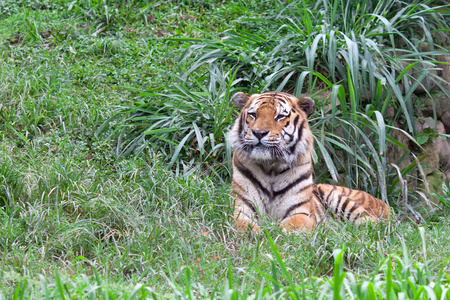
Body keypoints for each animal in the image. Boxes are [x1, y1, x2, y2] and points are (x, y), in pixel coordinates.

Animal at [229, 90, 390, 231]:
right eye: (253, 114)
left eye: (280, 116)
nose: (259, 133)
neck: (270, 167)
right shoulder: (240, 209)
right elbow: (245, 227)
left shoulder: (301, 212)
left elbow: (287, 228)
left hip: (339, 198)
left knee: (375, 225)